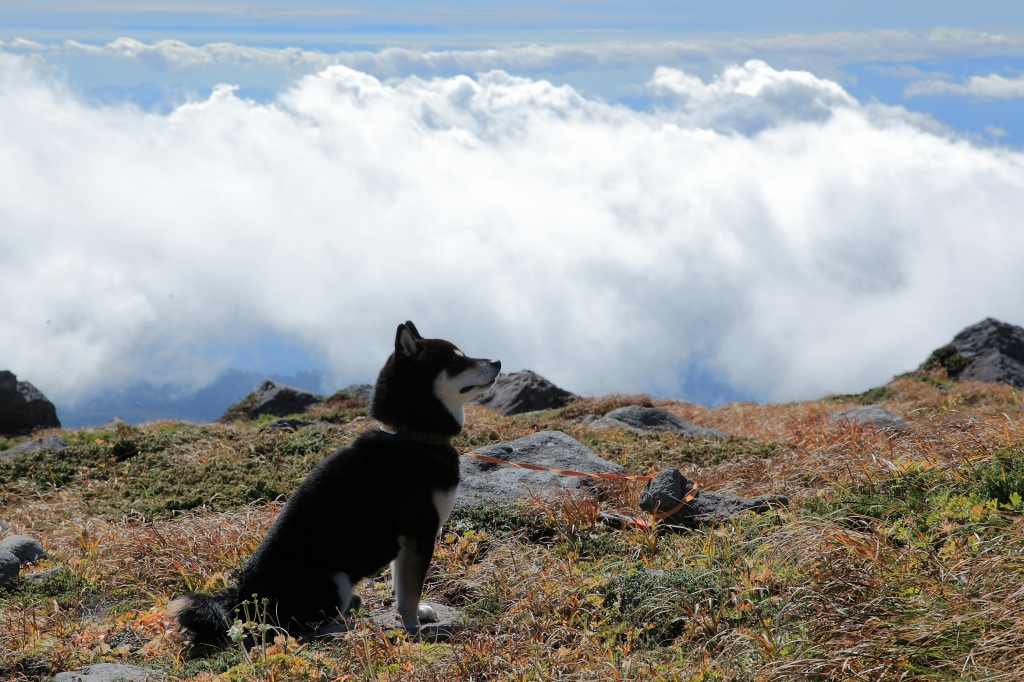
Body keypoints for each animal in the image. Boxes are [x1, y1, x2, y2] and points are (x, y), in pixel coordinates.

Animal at [169, 321, 501, 638]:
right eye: (457, 361)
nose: (497, 361)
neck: (414, 436)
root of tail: (242, 600)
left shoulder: (407, 543)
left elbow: (403, 588)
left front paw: (416, 615)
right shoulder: (419, 532)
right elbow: (409, 592)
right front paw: (413, 629)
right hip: (334, 581)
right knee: (299, 630)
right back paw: (347, 625)